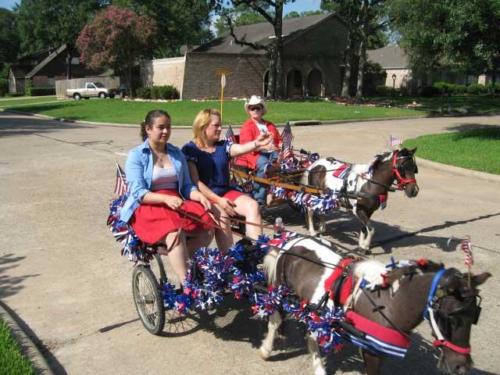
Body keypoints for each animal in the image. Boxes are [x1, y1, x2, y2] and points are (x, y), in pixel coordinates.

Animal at [260, 238, 490, 375]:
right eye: (450, 315)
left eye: (474, 315)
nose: (462, 366)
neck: (390, 303)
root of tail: (292, 241)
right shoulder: (371, 350)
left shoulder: (380, 349)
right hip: (279, 291)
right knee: (275, 319)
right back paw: (267, 348)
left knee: (311, 334)